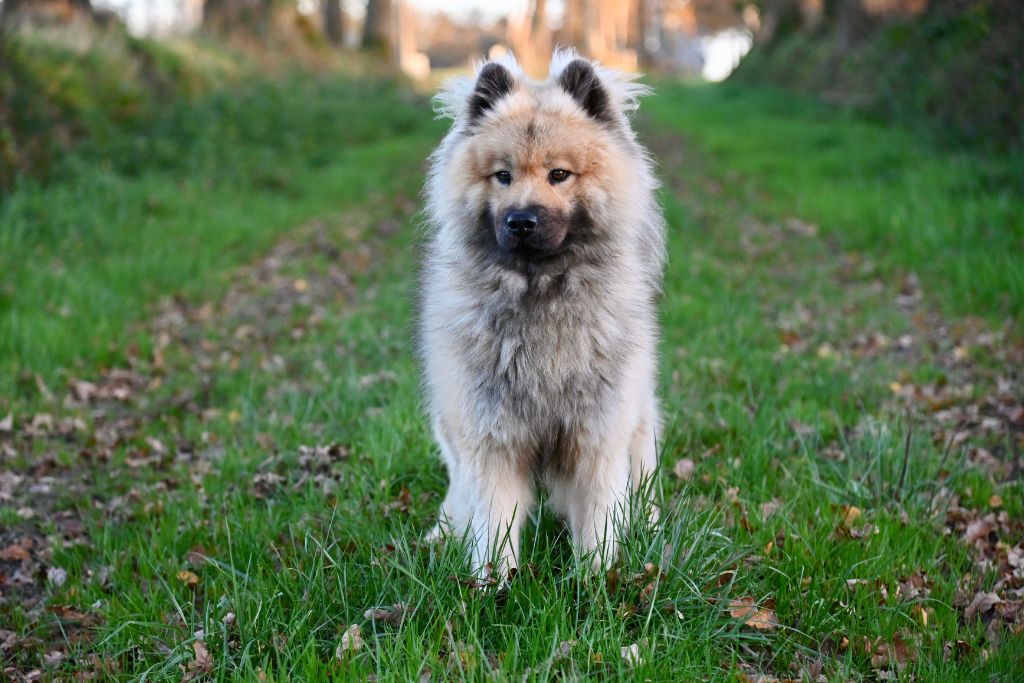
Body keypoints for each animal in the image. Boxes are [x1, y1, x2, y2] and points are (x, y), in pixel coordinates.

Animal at [415, 48, 663, 573]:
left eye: (559, 174)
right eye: (503, 175)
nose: (521, 220)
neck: (540, 297)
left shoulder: (596, 438)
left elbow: (599, 522)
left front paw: (596, 581)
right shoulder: (491, 440)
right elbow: (493, 525)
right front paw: (494, 584)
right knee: (458, 494)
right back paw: (441, 536)